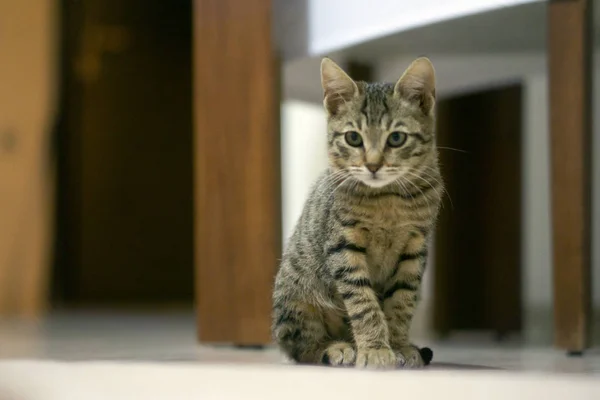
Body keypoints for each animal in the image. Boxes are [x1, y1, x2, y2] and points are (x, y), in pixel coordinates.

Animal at [272, 56, 440, 368]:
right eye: (353, 138)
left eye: (396, 138)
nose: (373, 165)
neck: (387, 199)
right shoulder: (343, 246)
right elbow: (363, 302)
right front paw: (375, 349)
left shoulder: (415, 250)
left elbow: (402, 301)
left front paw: (398, 345)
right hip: (298, 298)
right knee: (300, 347)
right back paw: (336, 348)